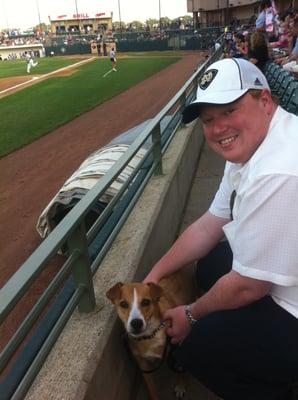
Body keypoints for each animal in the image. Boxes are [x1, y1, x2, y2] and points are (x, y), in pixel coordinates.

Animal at [106, 268, 194, 400]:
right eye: (123, 304)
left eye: (146, 302)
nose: (136, 323)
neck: (150, 336)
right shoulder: (143, 365)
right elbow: (151, 388)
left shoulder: (175, 349)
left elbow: (179, 371)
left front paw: (180, 385)